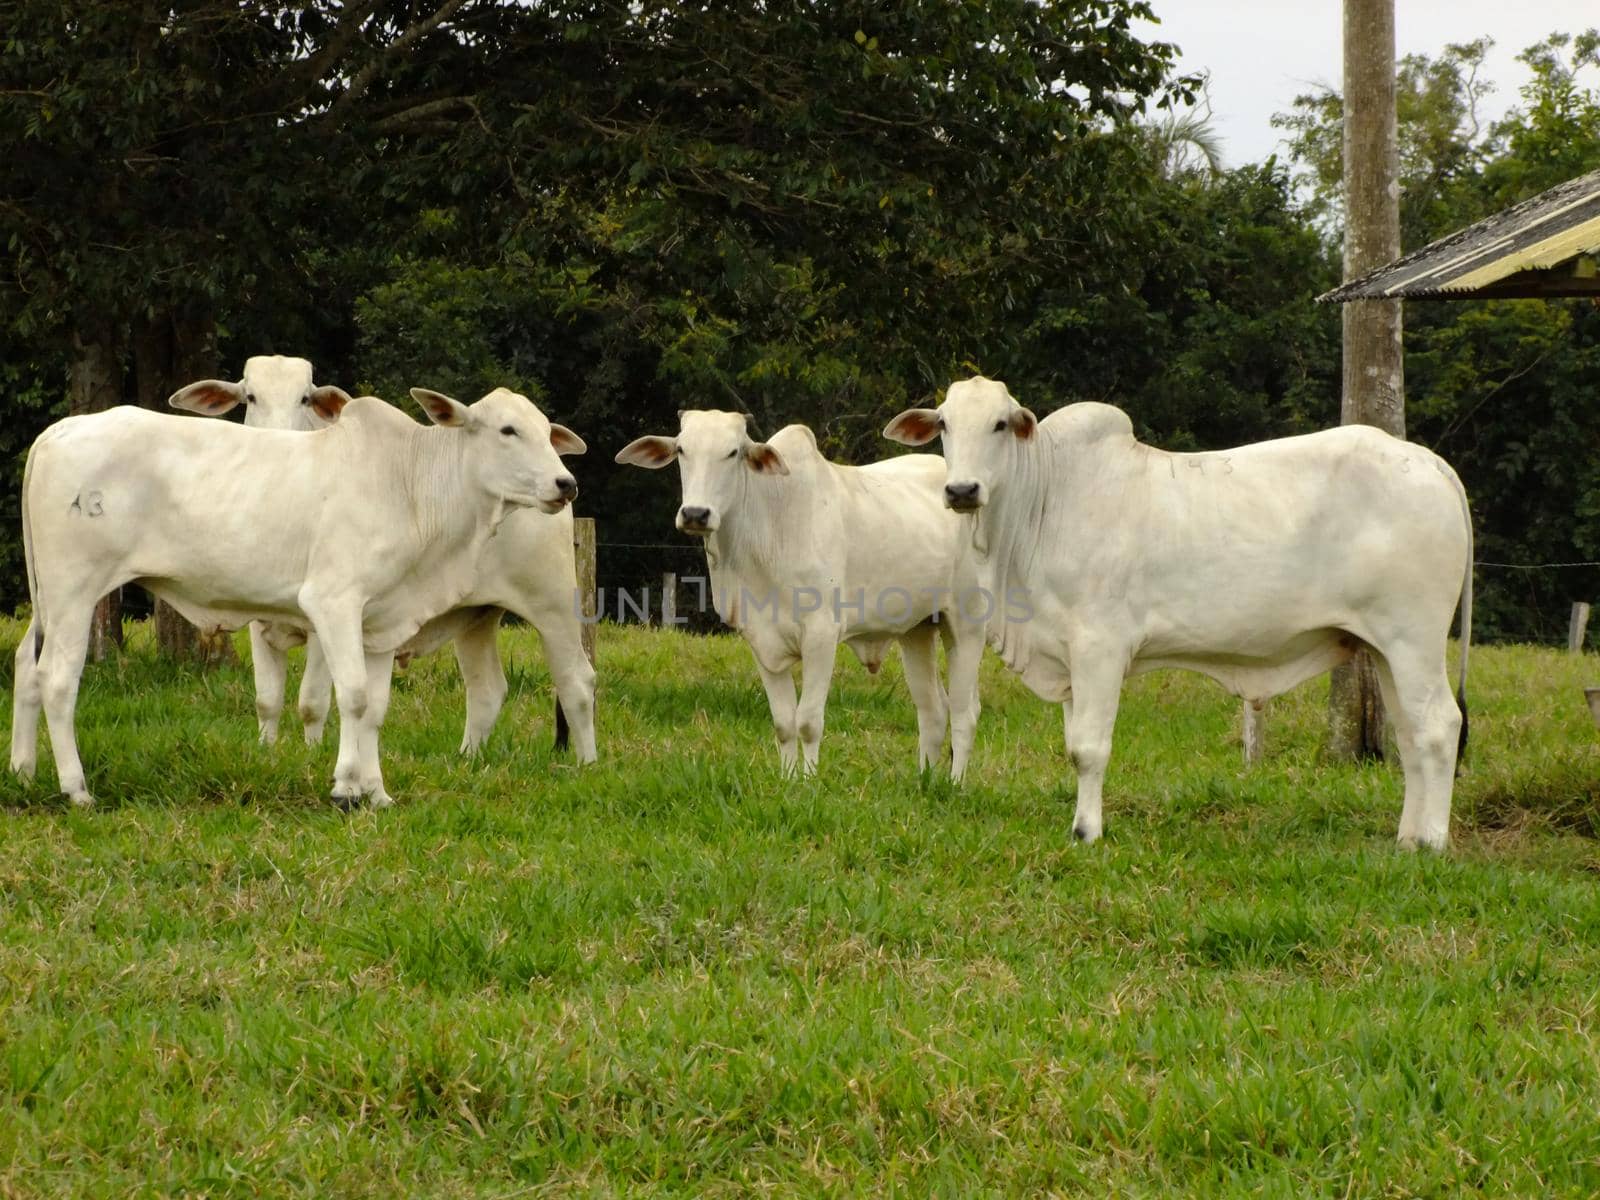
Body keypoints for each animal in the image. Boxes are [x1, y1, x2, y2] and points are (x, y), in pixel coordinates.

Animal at [9, 390, 585, 812]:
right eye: (508, 430)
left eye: (546, 431)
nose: (566, 483)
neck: (409, 484)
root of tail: (59, 431)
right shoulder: (334, 601)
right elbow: (352, 696)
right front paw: (345, 787)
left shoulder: (382, 622)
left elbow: (376, 708)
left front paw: (378, 793)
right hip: (75, 591)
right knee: (56, 679)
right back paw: (76, 789)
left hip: (48, 601)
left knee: (25, 667)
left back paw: (23, 772)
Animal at [168, 356, 598, 771]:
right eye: (251, 397)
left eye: (305, 398)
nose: (564, 483)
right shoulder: (260, 619)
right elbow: (267, 700)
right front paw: (267, 753)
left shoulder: (329, 617)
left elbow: (312, 702)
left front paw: (314, 756)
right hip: (477, 615)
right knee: (486, 689)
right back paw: (466, 760)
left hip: (552, 603)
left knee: (577, 682)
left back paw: (586, 765)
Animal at [617, 412, 979, 780]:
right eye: (681, 449)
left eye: (733, 452)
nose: (695, 514)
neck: (768, 527)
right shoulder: (760, 640)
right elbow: (783, 724)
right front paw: (789, 780)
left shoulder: (821, 636)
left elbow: (807, 722)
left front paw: (809, 781)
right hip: (917, 631)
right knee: (933, 710)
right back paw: (925, 780)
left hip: (966, 627)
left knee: (965, 713)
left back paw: (955, 783)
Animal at [889, 380, 1472, 851]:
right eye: (945, 423)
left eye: (1000, 423)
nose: (962, 490)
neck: (1046, 500)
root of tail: (1431, 463)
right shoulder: (1068, 657)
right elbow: (1074, 744)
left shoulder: (1100, 647)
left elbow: (1088, 749)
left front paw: (1086, 832)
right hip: (1384, 648)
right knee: (1410, 735)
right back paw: (1407, 838)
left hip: (1414, 640)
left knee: (1440, 727)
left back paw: (1434, 841)